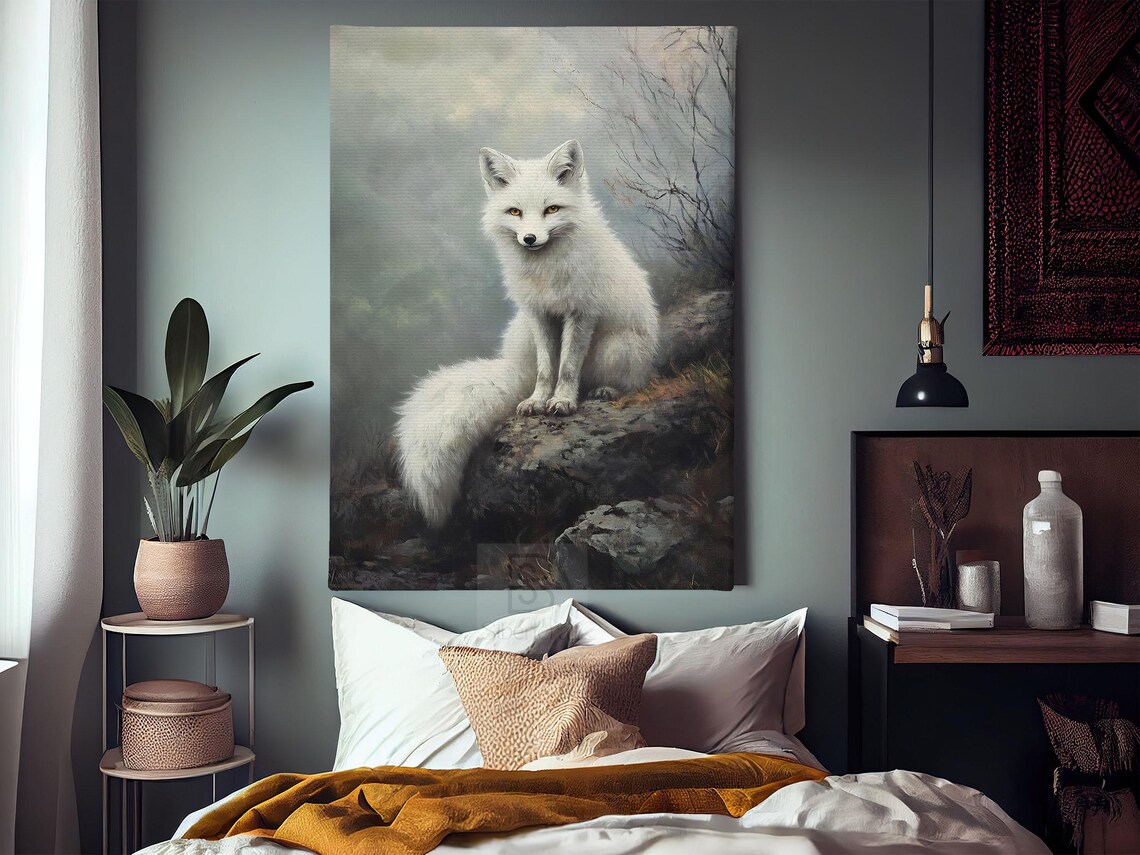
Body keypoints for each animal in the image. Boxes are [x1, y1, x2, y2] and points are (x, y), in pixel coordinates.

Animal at [395, 139, 659, 528]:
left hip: (619, 346)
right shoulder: (540, 314)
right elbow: (547, 368)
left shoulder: (580, 313)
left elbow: (567, 367)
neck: (545, 271)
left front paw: (562, 401)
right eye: (515, 212)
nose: (530, 238)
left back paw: (606, 390)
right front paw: (538, 401)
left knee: (630, 380)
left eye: (552, 209)